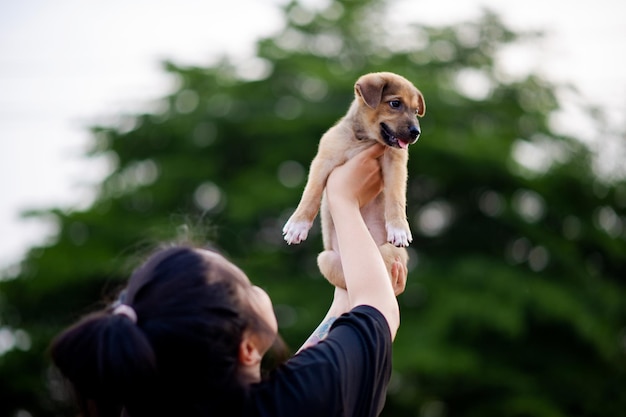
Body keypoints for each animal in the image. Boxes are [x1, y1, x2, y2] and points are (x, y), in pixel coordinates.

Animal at [282, 71, 424, 288]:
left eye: (416, 110)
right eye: (395, 103)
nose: (416, 132)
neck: (364, 139)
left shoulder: (396, 165)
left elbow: (396, 198)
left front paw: (399, 228)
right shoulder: (323, 160)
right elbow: (311, 194)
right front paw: (297, 225)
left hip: (386, 252)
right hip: (325, 259)